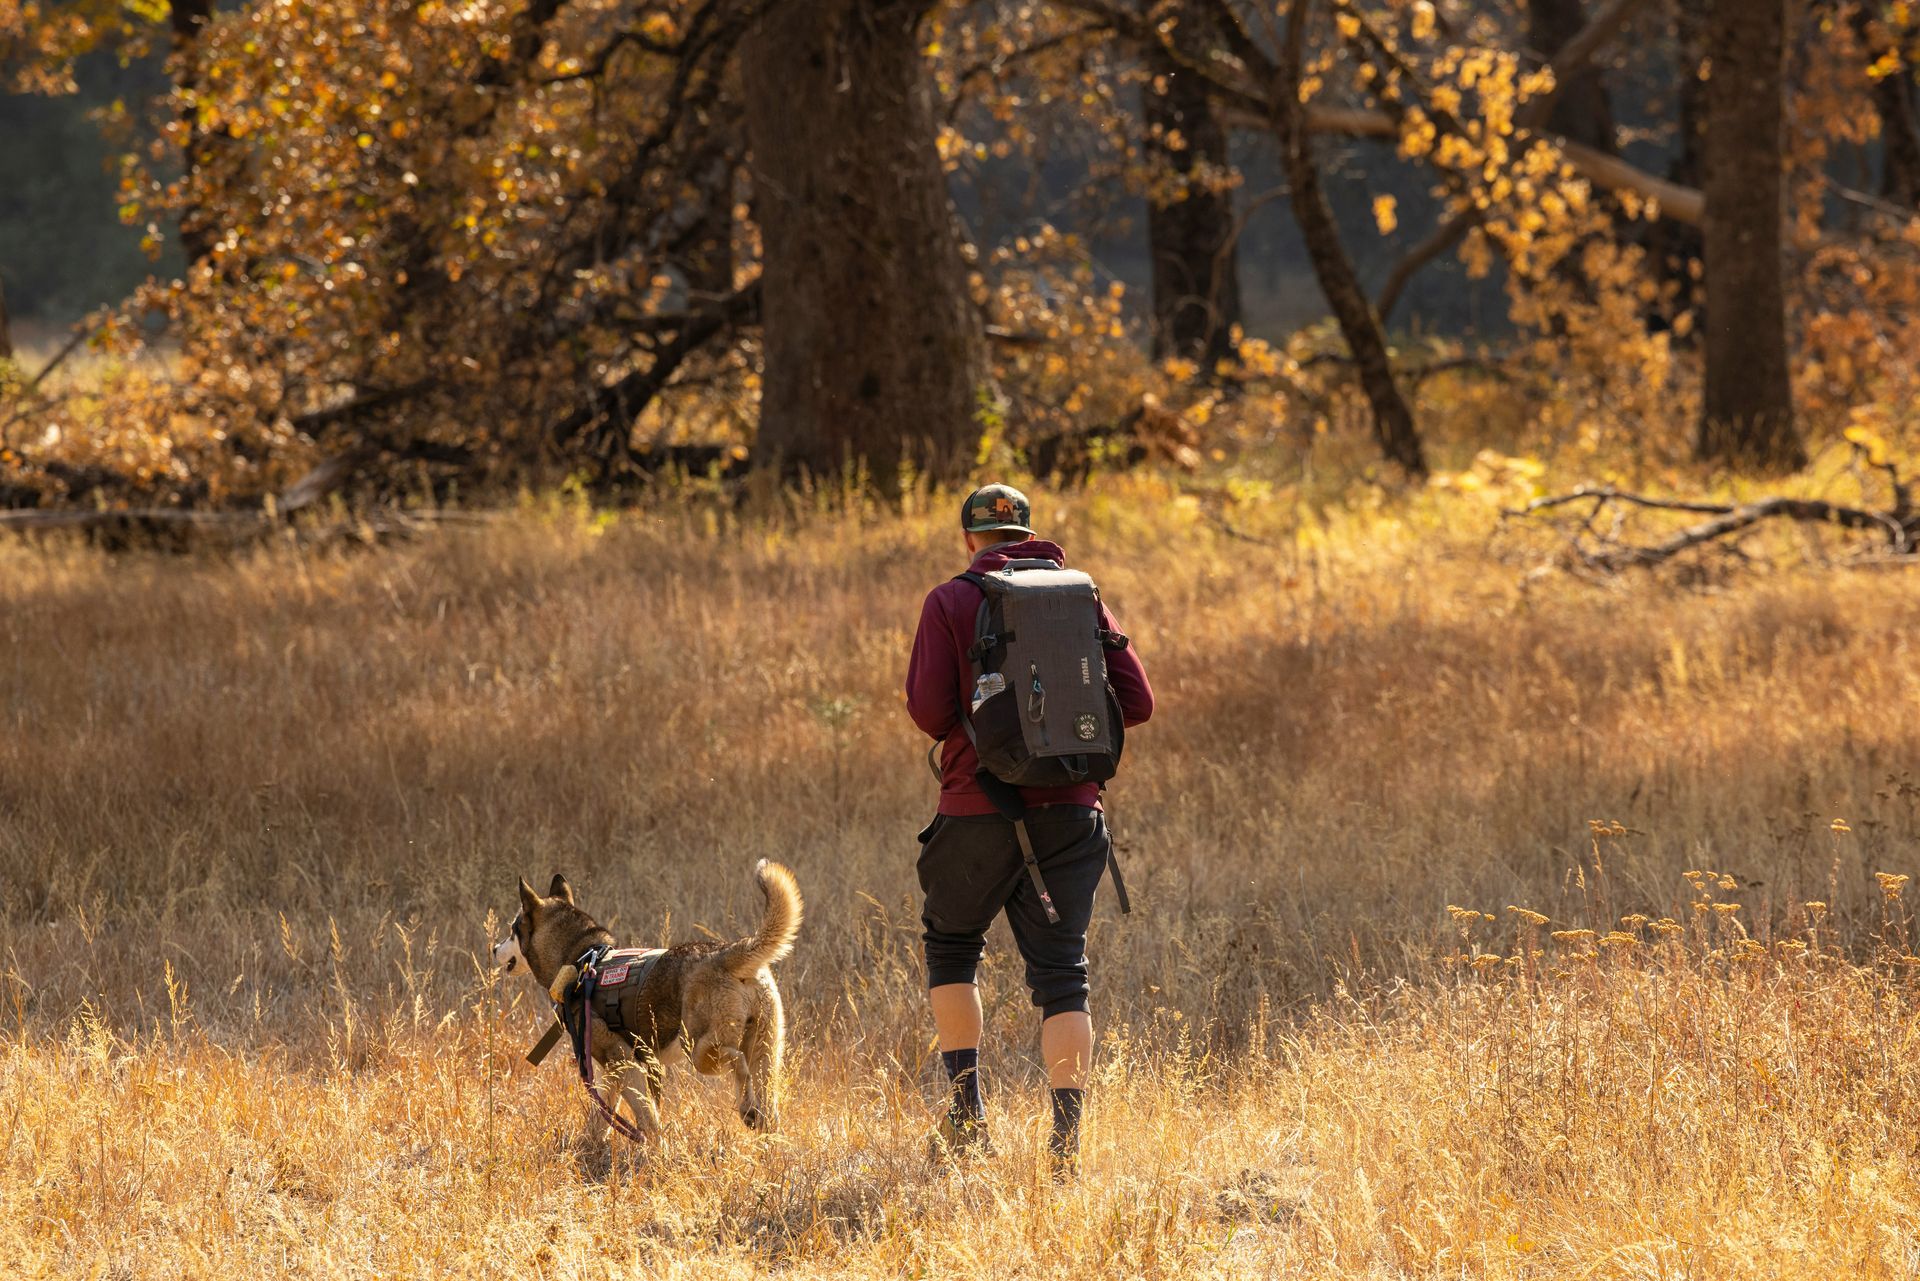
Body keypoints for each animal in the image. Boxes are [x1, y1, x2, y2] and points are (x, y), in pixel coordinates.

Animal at [495, 860, 802, 1144]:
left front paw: (656, 1150)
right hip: (765, 1053)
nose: (495, 948)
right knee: (767, 1104)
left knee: (738, 1062)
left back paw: (746, 1110)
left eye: (512, 929)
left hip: (700, 1051)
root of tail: (725, 954)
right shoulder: (619, 1070)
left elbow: (646, 1117)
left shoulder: (623, 1061)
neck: (581, 960)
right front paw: (589, 1147)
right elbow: (603, 1115)